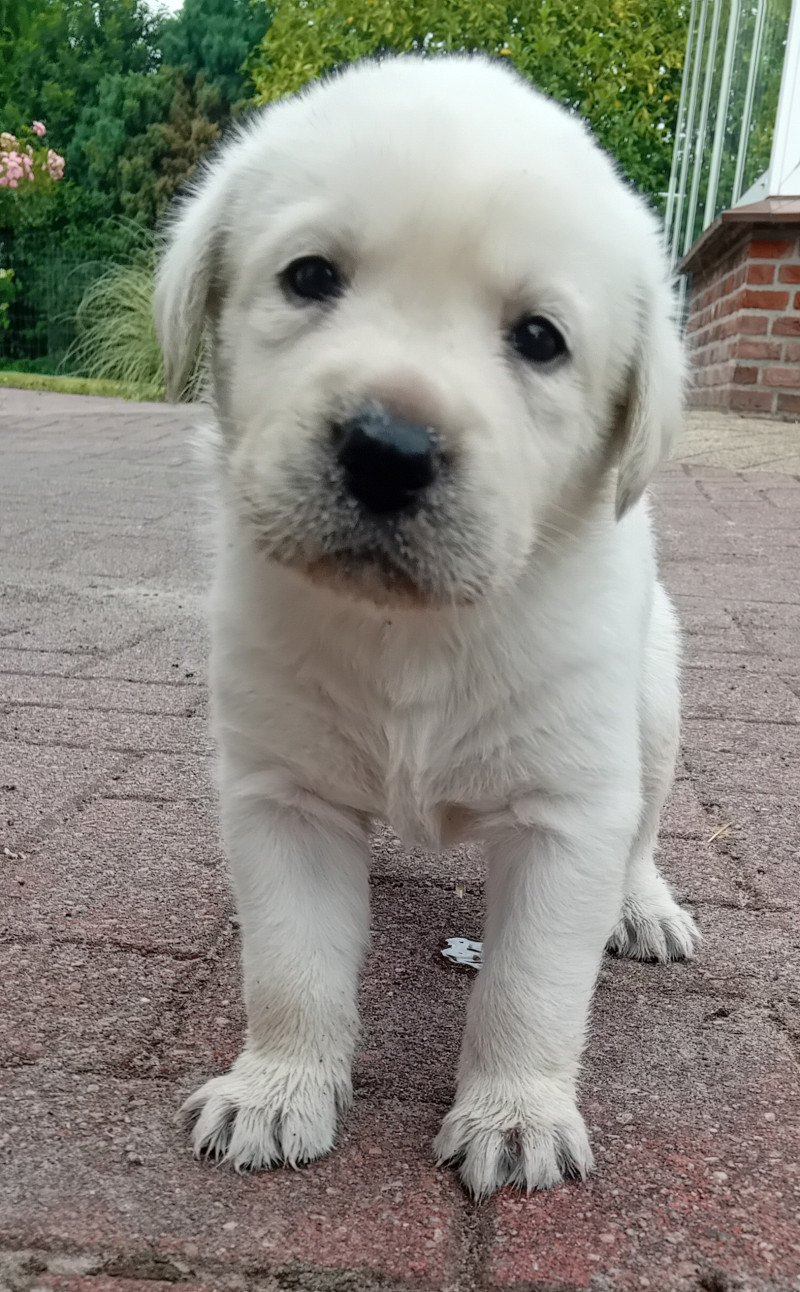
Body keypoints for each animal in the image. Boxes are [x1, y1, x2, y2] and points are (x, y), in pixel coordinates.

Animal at [153, 52, 697, 1198]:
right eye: (309, 277)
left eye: (538, 340)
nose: (389, 449)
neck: (409, 630)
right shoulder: (282, 796)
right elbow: (291, 969)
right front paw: (278, 1088)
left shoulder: (565, 815)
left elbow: (530, 986)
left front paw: (517, 1113)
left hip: (654, 705)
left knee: (641, 829)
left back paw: (644, 907)